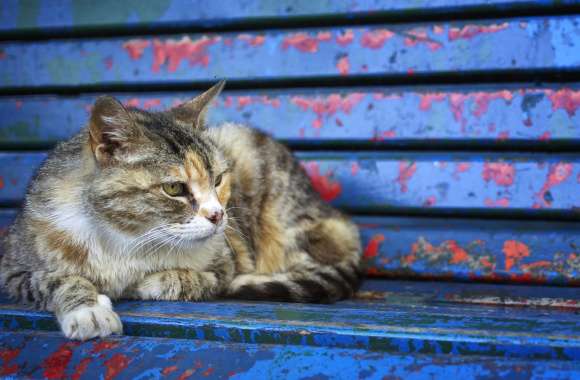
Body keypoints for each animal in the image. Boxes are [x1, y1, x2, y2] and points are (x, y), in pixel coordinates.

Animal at [0, 81, 362, 340]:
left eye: (218, 179)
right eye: (174, 188)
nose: (218, 215)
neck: (126, 236)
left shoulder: (226, 261)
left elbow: (199, 279)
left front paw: (149, 282)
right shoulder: (12, 264)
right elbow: (53, 278)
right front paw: (87, 310)